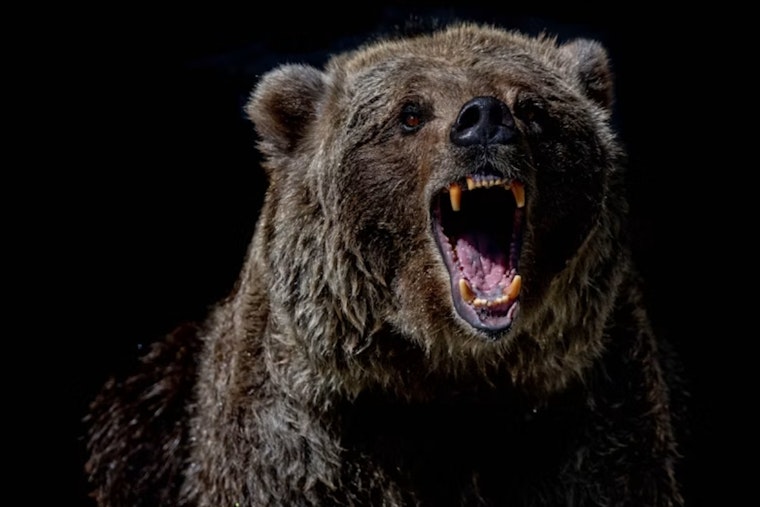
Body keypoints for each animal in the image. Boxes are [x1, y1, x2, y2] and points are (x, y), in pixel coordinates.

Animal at [84, 22, 685, 506]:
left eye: (533, 108)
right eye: (410, 113)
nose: (484, 118)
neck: (446, 376)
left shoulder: (586, 421)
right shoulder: (300, 442)